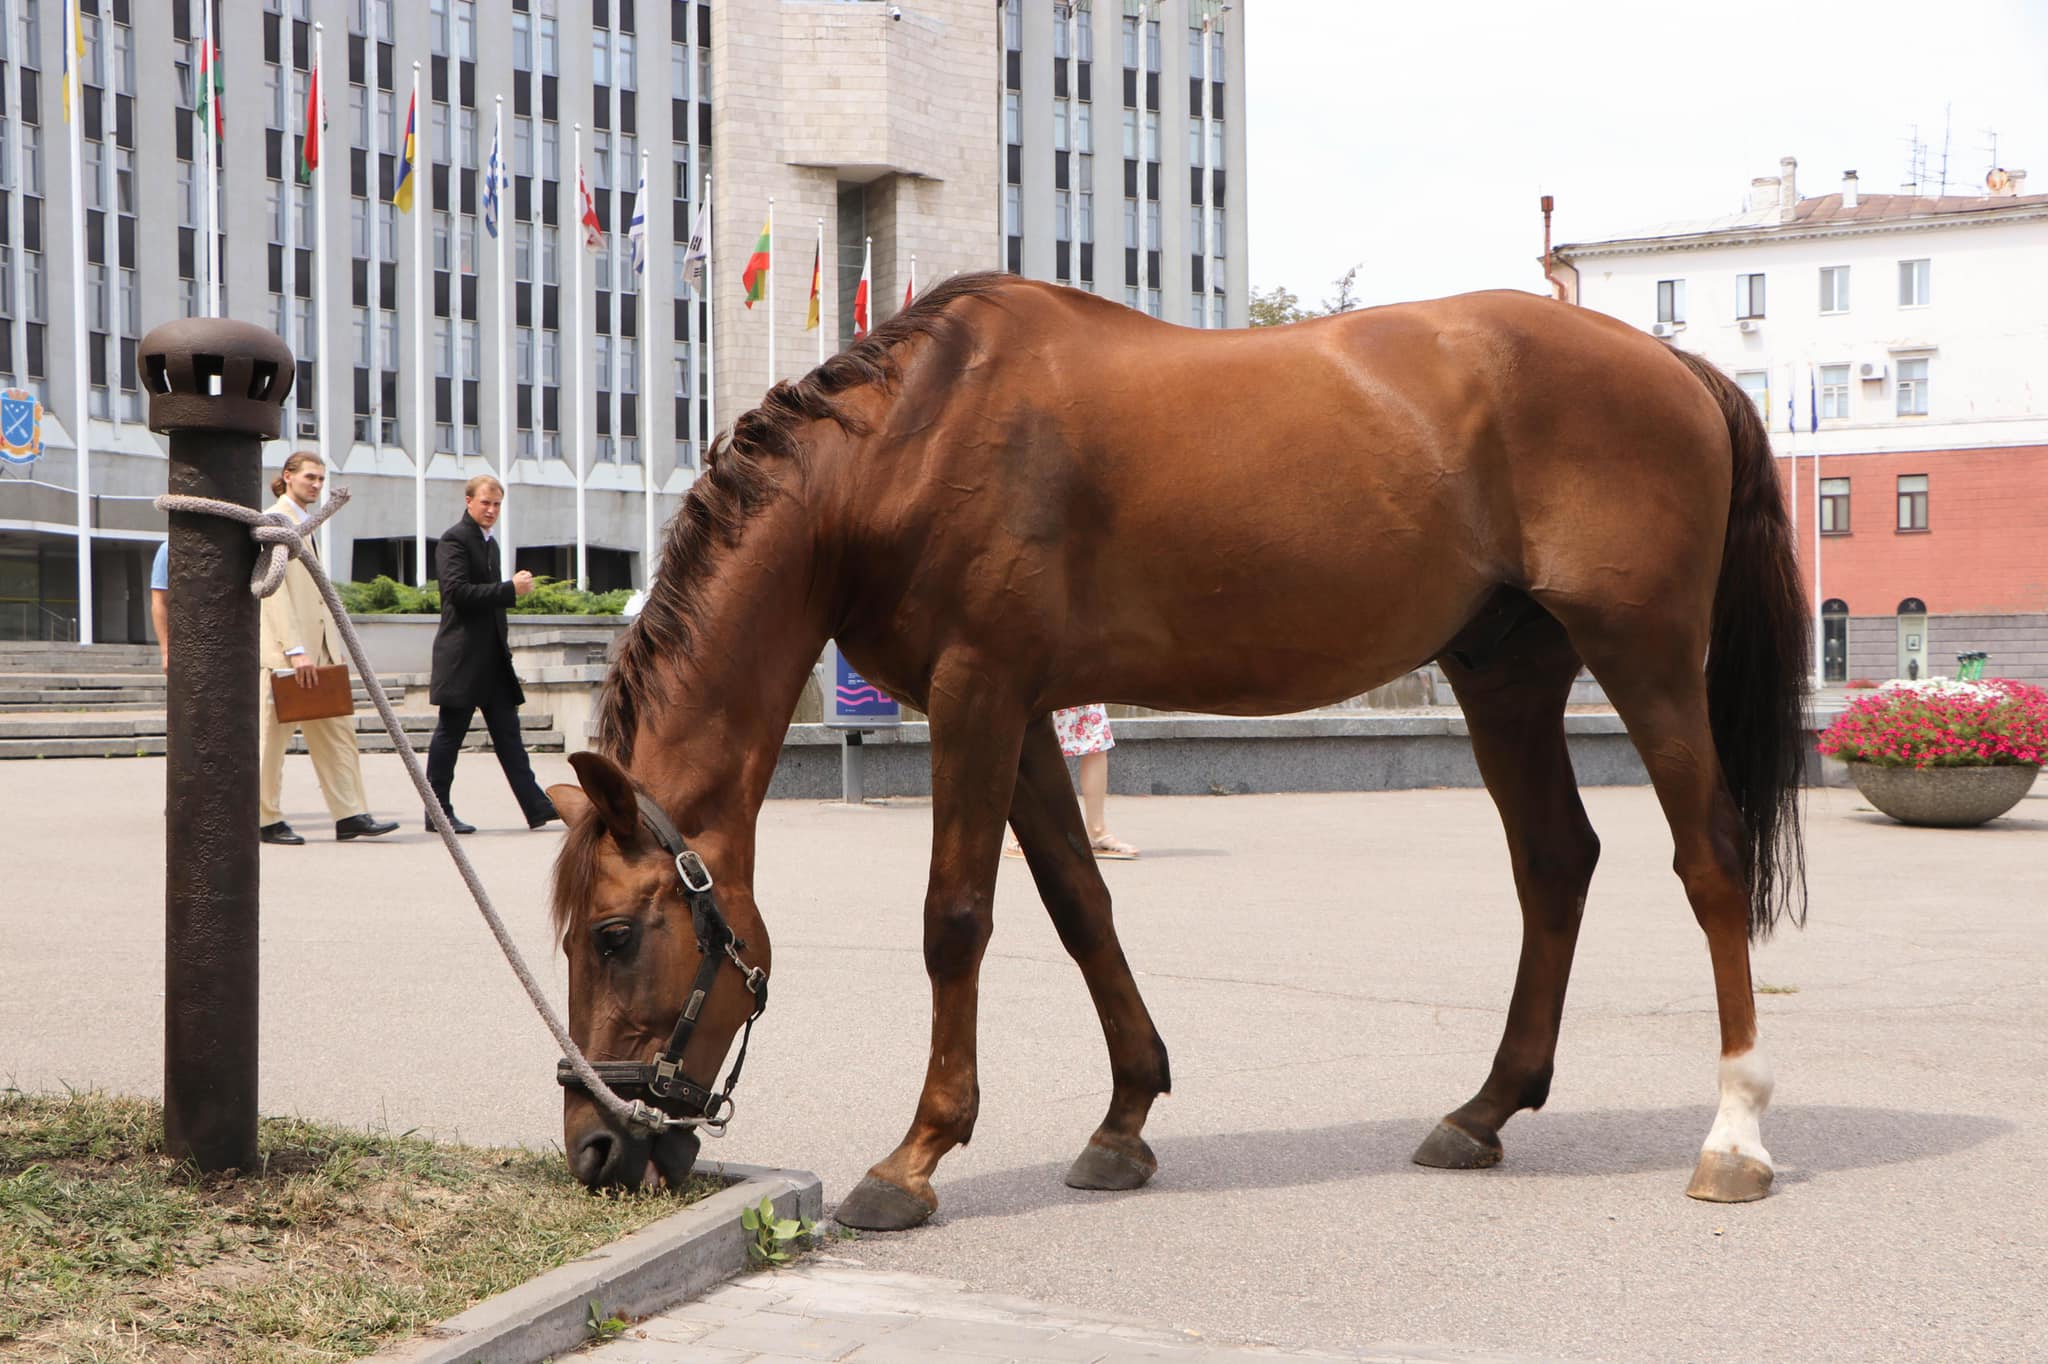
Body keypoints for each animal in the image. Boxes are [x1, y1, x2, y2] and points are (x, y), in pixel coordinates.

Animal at [544, 270, 1810, 1228]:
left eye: (613, 934)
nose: (595, 1148)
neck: (906, 442)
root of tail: (1675, 367)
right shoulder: (1020, 712)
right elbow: (1077, 903)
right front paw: (1123, 1119)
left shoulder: (976, 692)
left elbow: (956, 917)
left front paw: (914, 1155)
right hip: (1503, 669)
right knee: (1553, 861)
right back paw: (1483, 1108)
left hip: (1643, 651)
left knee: (1706, 859)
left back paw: (1734, 1132)